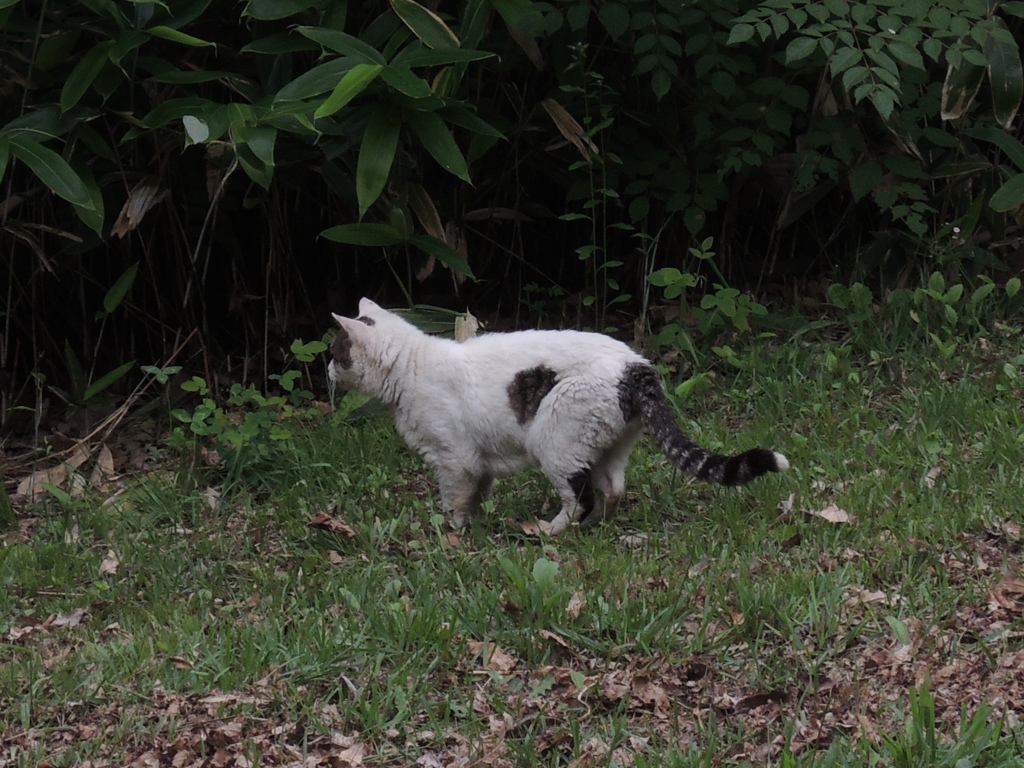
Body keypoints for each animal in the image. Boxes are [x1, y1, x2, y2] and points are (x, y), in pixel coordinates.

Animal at [331, 299, 786, 536]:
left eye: (335, 353)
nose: (326, 371)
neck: (411, 369)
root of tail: (637, 367)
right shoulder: (477, 462)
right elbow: (477, 495)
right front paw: (473, 526)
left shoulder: (454, 459)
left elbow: (455, 502)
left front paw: (452, 535)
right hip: (609, 446)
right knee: (613, 489)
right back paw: (599, 527)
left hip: (555, 441)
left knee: (580, 496)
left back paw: (551, 530)